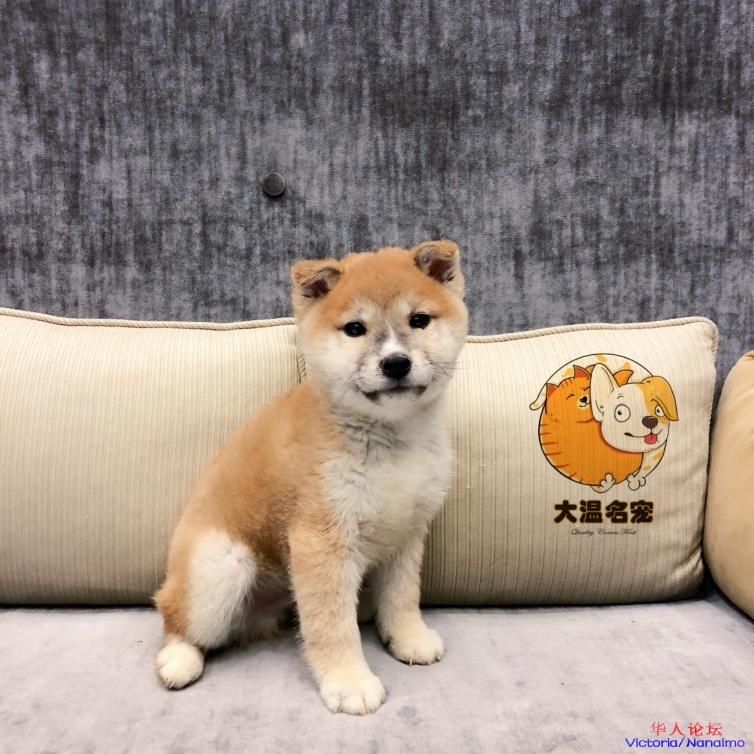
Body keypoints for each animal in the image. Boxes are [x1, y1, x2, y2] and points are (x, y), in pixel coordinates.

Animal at [153, 240, 468, 715]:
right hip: (220, 568)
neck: (389, 439)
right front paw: (349, 682)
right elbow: (332, 627)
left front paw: (407, 637)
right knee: (175, 617)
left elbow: (402, 597)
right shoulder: (321, 541)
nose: (396, 363)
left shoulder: (407, 535)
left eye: (419, 320)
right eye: (355, 328)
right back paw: (179, 658)